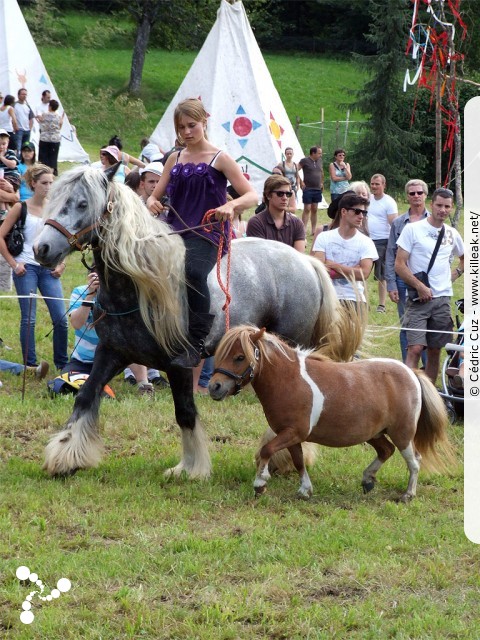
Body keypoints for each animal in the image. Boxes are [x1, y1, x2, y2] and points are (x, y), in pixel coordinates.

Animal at [208, 328, 456, 502]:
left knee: (414, 461)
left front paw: (260, 483)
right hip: (374, 433)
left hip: (402, 433)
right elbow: (298, 461)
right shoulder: (292, 436)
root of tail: (411, 373)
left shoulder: (292, 433)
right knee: (386, 451)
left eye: (240, 357)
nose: (214, 387)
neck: (289, 379)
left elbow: (266, 450)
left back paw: (408, 494)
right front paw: (305, 490)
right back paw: (367, 480)